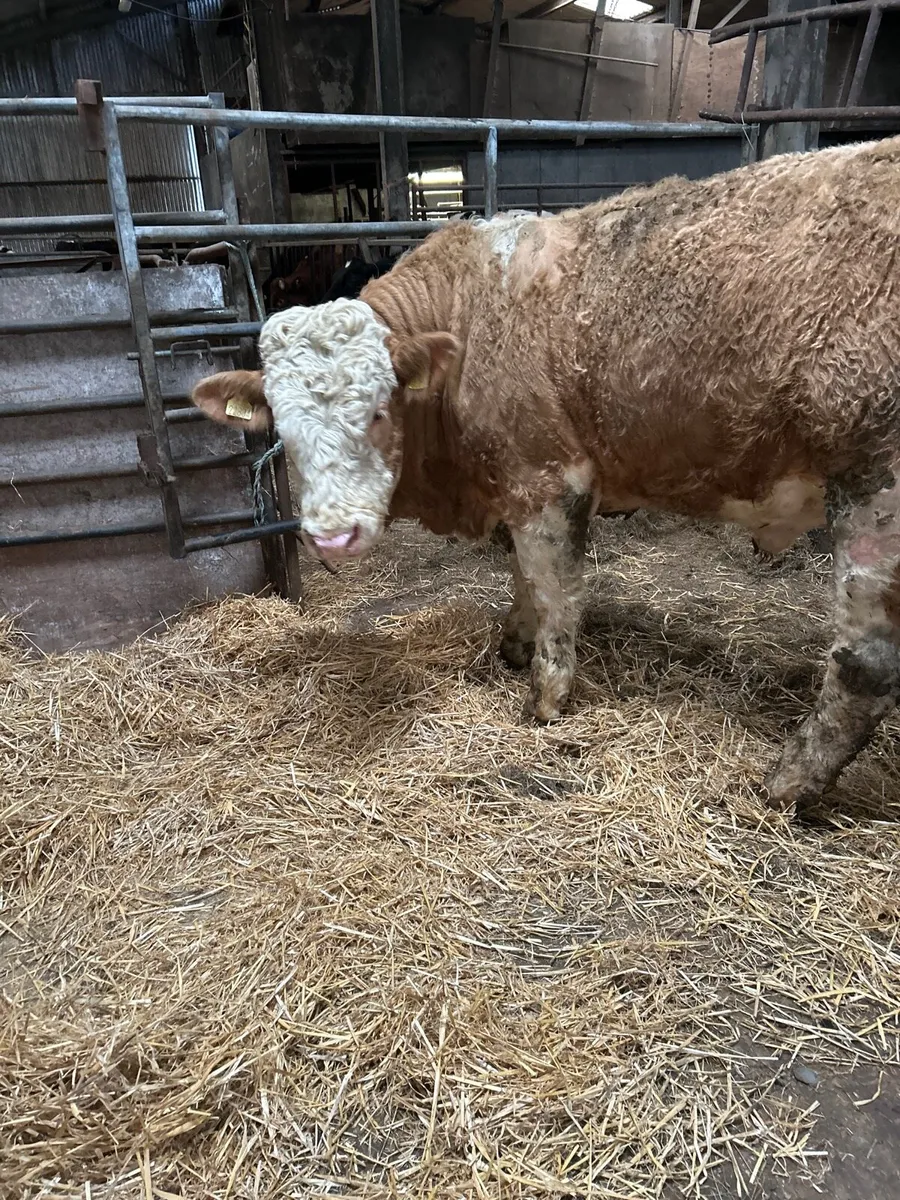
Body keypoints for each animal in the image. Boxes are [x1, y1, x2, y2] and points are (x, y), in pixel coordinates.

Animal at [190, 136, 900, 814]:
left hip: (874, 488)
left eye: (378, 410)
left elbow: (553, 585)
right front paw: (514, 642)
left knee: (865, 662)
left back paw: (788, 784)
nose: (333, 537)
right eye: (281, 430)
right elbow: (524, 575)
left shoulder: (547, 478)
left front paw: (547, 694)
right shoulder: (513, 481)